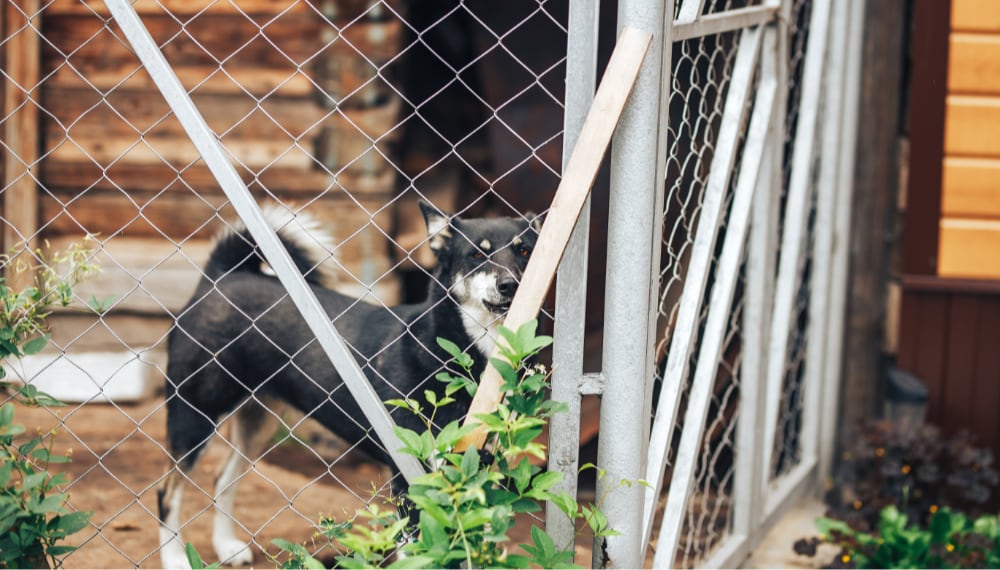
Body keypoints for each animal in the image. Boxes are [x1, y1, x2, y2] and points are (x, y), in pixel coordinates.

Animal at [156, 200, 540, 564]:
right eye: (477, 253)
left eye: (524, 251)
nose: (511, 285)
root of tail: (221, 278)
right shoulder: (410, 473)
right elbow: (419, 550)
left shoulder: (482, 470)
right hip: (195, 414)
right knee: (167, 491)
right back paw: (175, 558)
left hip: (257, 421)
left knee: (223, 479)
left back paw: (226, 546)